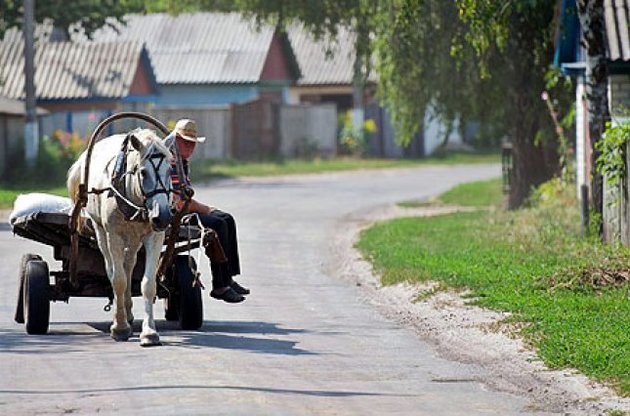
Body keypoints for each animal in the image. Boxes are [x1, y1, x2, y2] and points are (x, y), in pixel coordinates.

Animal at [67, 129, 173, 344]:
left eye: (169, 171)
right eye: (143, 172)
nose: (163, 216)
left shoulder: (155, 236)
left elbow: (148, 283)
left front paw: (149, 332)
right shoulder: (113, 235)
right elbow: (119, 280)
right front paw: (120, 327)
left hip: (133, 239)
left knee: (129, 264)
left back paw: (128, 311)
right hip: (102, 233)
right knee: (112, 269)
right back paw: (120, 313)